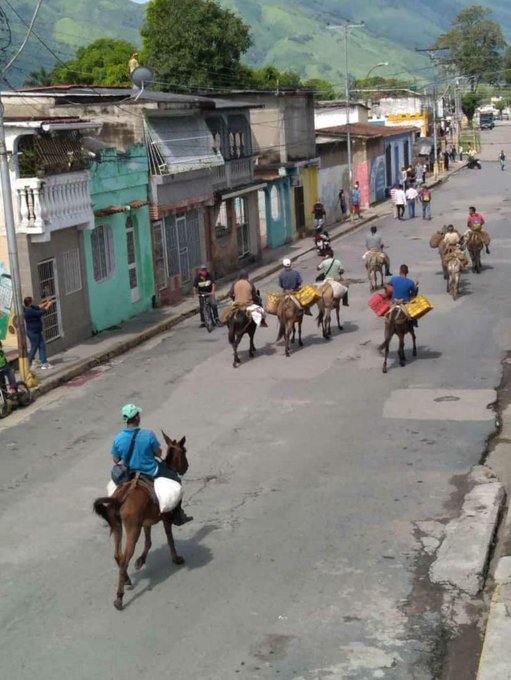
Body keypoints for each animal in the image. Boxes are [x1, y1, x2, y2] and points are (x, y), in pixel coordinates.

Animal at [93, 432, 188, 612]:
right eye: (184, 451)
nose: (185, 467)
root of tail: (120, 497)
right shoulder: (164, 518)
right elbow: (169, 538)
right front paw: (176, 558)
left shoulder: (146, 522)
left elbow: (149, 542)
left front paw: (141, 561)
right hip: (132, 530)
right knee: (124, 558)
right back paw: (119, 598)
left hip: (118, 527)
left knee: (118, 555)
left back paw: (127, 580)